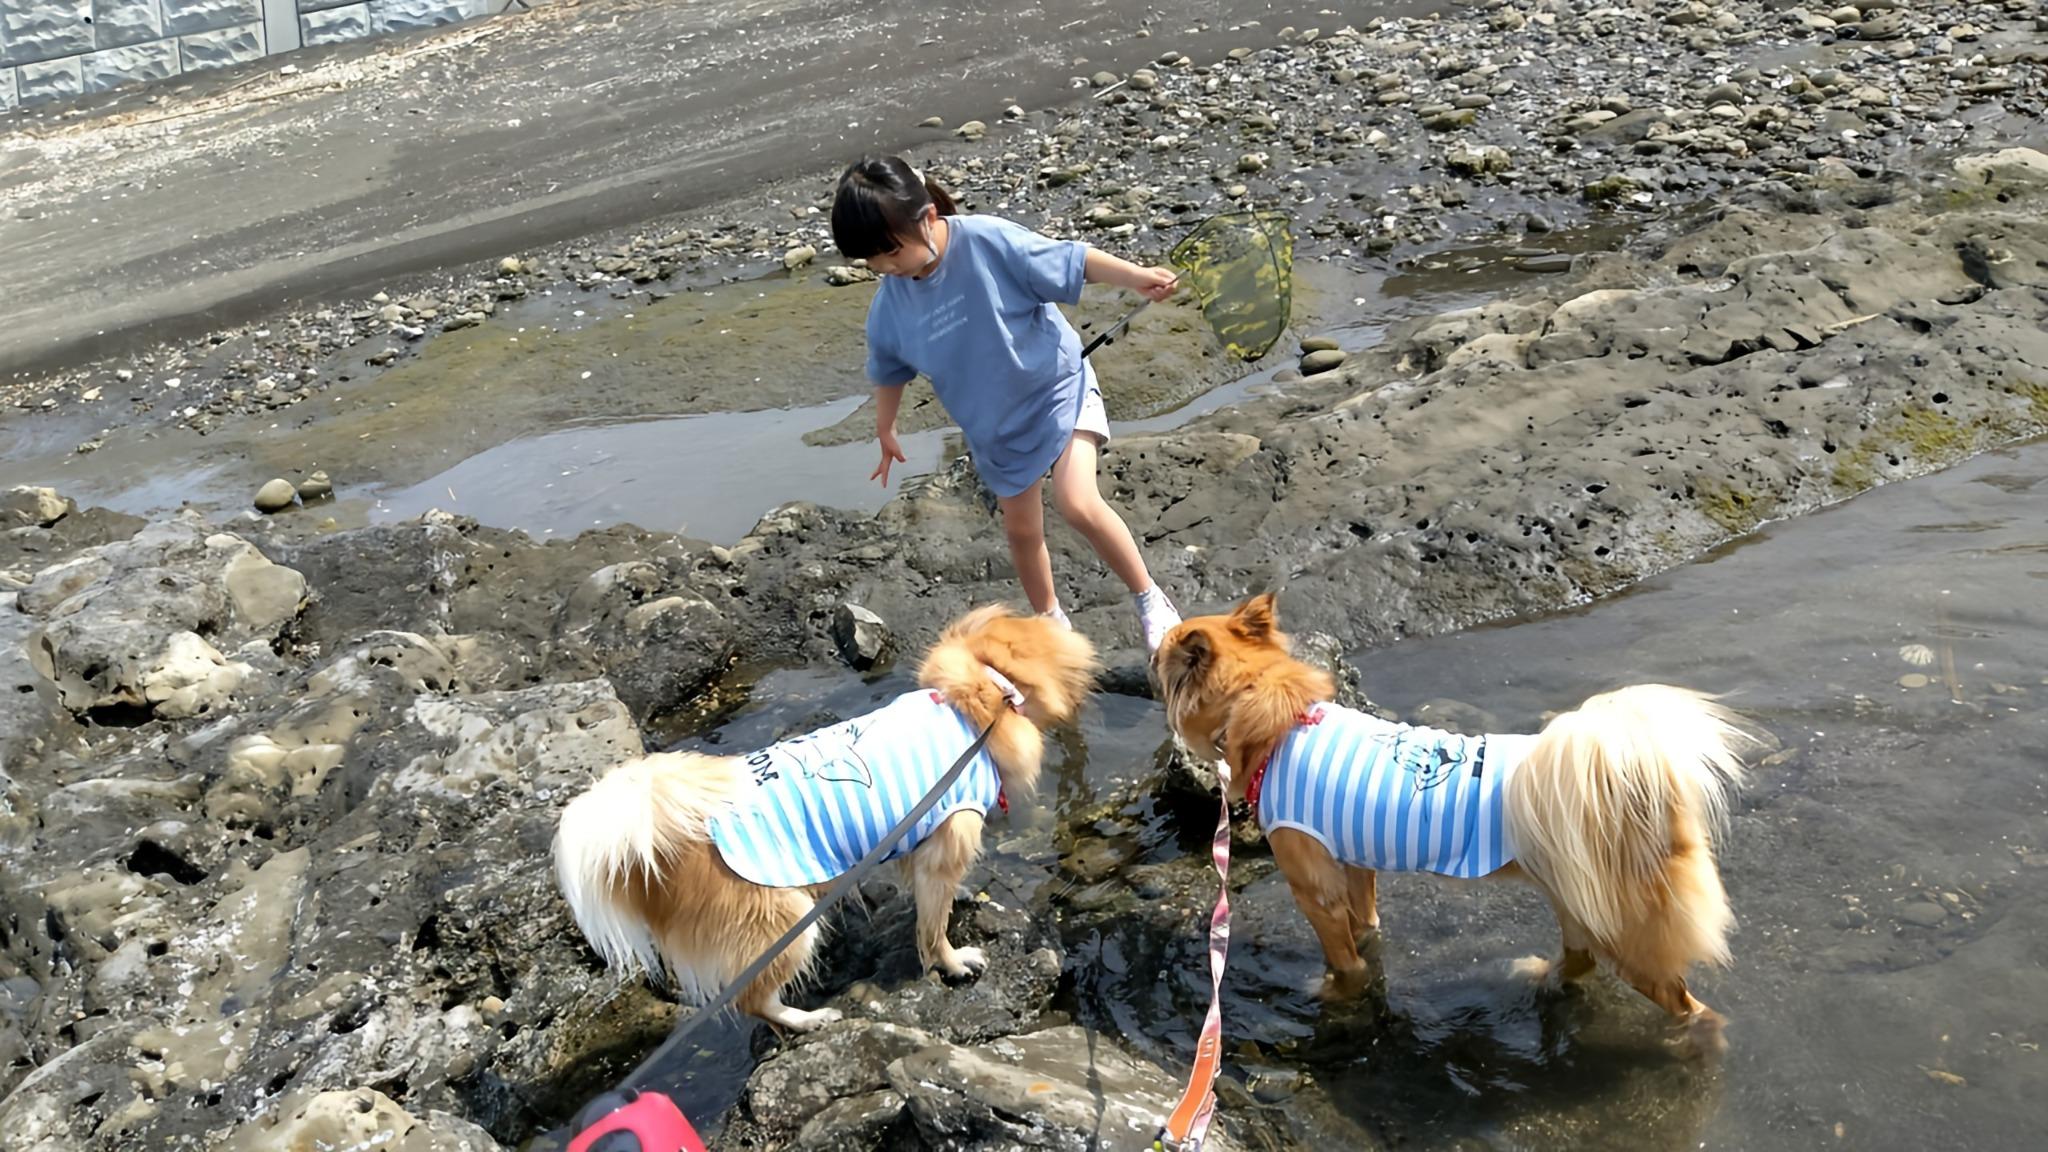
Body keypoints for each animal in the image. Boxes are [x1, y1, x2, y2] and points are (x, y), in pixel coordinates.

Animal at [561, 606, 1097, 1024]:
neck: (981, 696)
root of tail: (655, 852)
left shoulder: (921, 843)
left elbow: (929, 893)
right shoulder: (946, 835)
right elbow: (932, 927)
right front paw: (952, 962)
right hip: (784, 920)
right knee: (752, 1002)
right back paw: (807, 1019)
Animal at [1155, 590, 1761, 1049]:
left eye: (1159, 656)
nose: (1151, 647)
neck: (1277, 716)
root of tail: (1655, 805)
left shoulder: (1312, 885)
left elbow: (1343, 959)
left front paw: (1334, 993)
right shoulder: (1352, 862)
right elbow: (1364, 923)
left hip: (1629, 936)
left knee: (1687, 1005)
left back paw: (1694, 1045)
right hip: (1581, 903)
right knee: (1581, 961)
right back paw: (1539, 976)